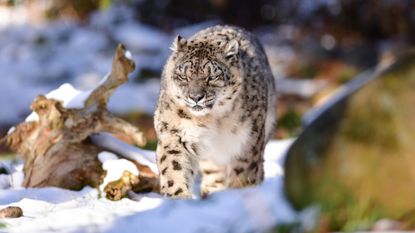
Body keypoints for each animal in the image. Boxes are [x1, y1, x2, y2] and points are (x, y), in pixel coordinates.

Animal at [153, 24, 276, 198]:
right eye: (184, 76)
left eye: (211, 77)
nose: (196, 97)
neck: (211, 119)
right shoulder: (173, 134)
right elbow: (174, 169)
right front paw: (178, 198)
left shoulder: (248, 140)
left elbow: (243, 172)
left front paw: (239, 194)